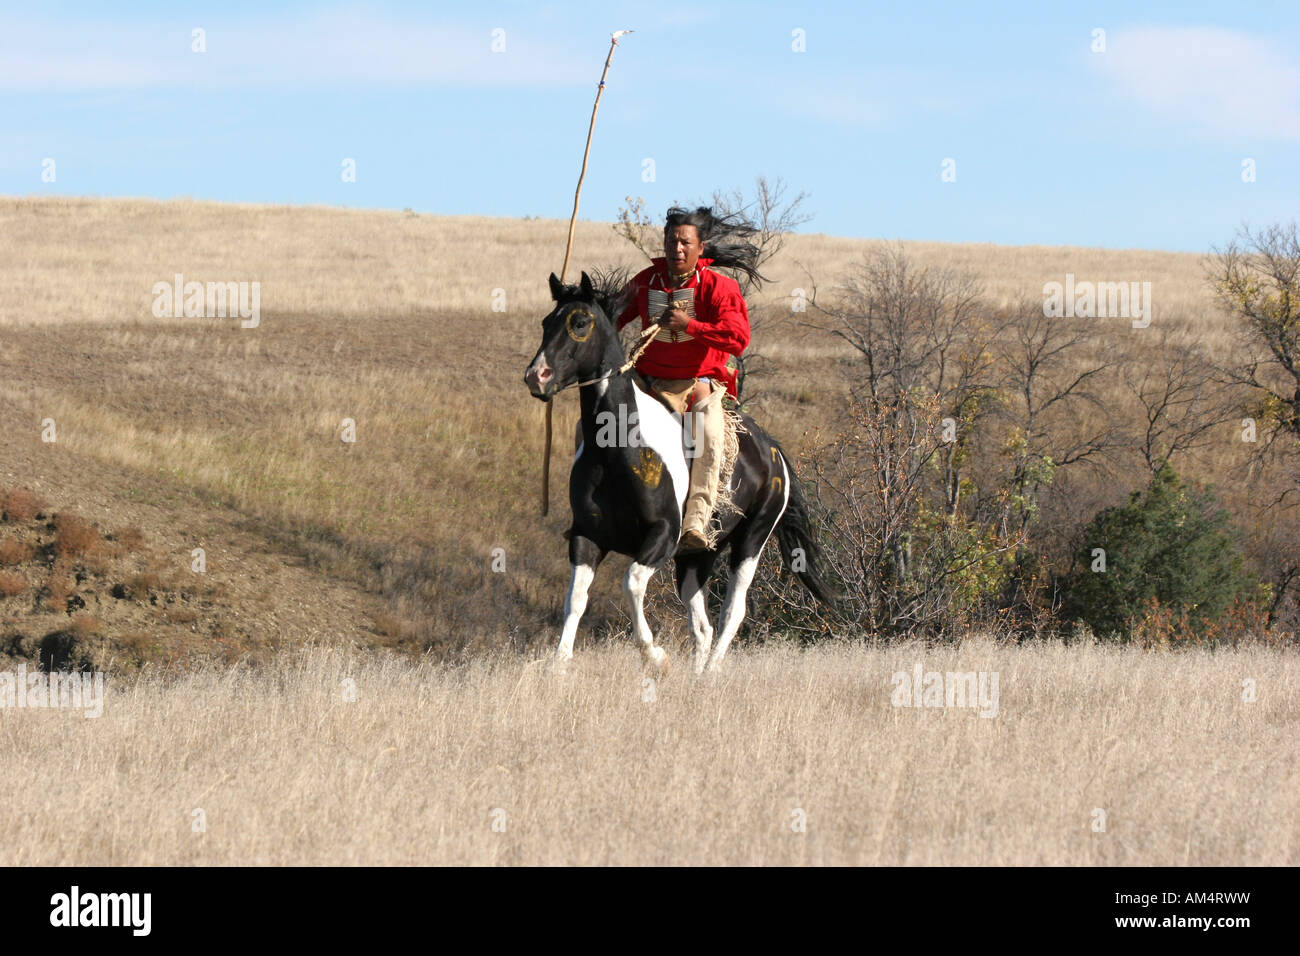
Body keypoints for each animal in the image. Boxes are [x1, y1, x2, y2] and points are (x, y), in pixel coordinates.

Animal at [525, 269, 837, 671]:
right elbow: (576, 599)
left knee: (733, 611)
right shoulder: (586, 537)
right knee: (702, 626)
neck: (618, 450)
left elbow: (632, 583)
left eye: (580, 322)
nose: (537, 376)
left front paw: (656, 656)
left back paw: (712, 672)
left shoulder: (662, 537)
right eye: (546, 322)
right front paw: (560, 664)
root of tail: (773, 451)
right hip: (696, 557)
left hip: (751, 539)